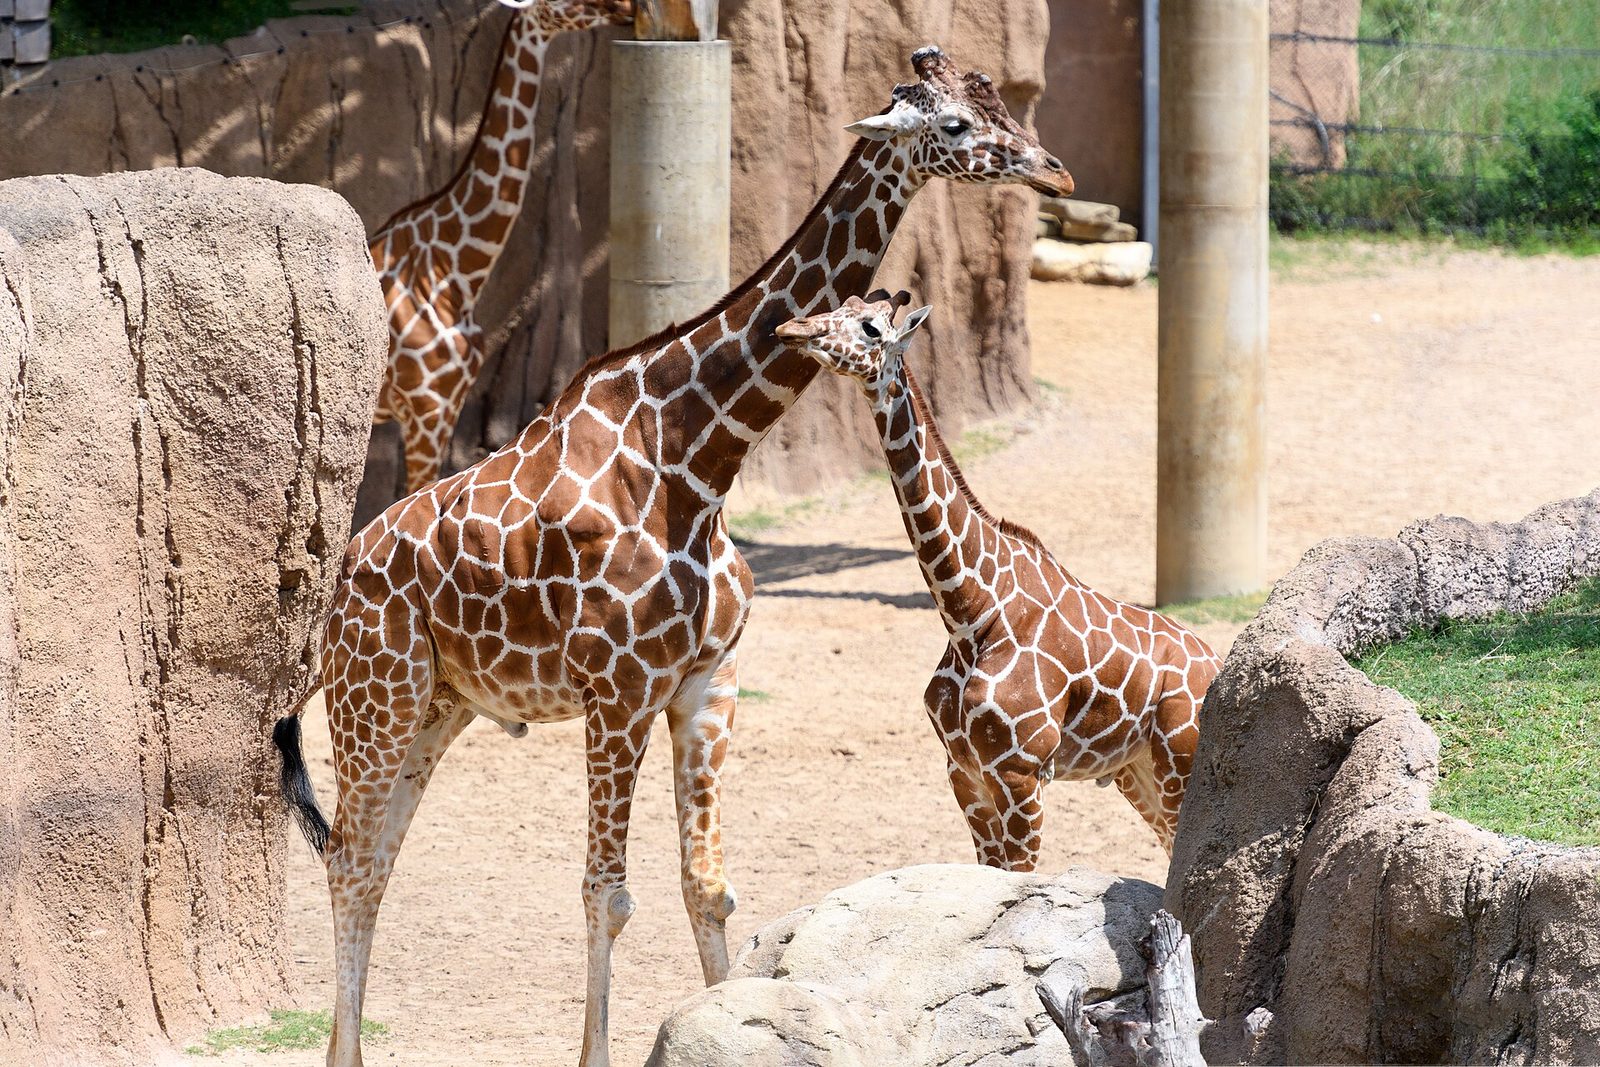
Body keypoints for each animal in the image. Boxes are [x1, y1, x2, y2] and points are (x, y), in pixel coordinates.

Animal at [774, 294, 1223, 866]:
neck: (968, 611)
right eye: (841, 304)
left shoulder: (1019, 773)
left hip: (1178, 765)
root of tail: (1216, 663)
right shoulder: (964, 771)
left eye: (870, 328)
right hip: (1134, 771)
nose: (792, 329)